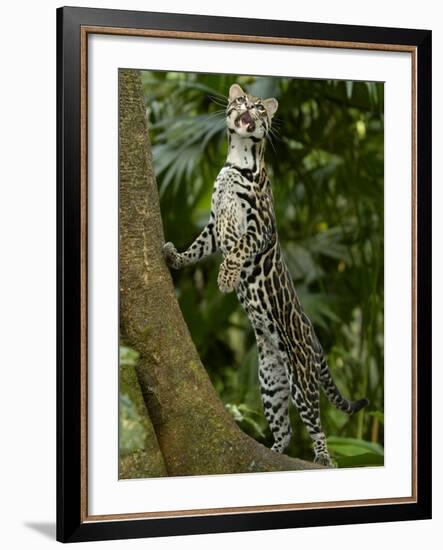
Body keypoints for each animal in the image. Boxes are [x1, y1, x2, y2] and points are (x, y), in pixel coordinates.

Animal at [163, 84, 368, 468]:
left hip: (301, 378)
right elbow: (196, 247)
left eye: (260, 108)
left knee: (316, 425)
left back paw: (323, 458)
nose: (249, 107)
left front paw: (226, 279)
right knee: (284, 430)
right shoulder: (213, 227)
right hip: (270, 382)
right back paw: (270, 453)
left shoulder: (260, 228)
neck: (238, 160)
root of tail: (314, 338)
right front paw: (175, 256)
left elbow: (237, 250)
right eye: (241, 100)